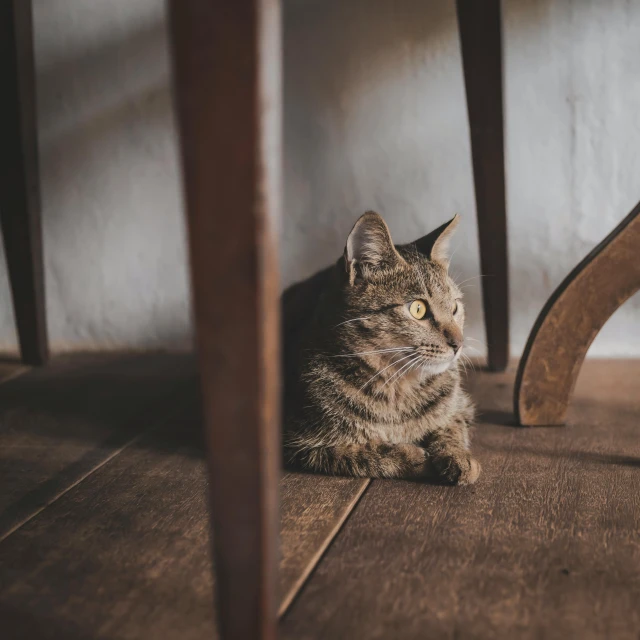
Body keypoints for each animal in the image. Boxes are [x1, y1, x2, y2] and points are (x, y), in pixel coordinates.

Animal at [284, 211, 480, 484]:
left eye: (454, 307)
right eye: (418, 309)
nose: (459, 344)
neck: (397, 386)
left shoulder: (463, 406)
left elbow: (451, 428)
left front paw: (457, 456)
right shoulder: (300, 443)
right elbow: (363, 453)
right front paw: (413, 456)